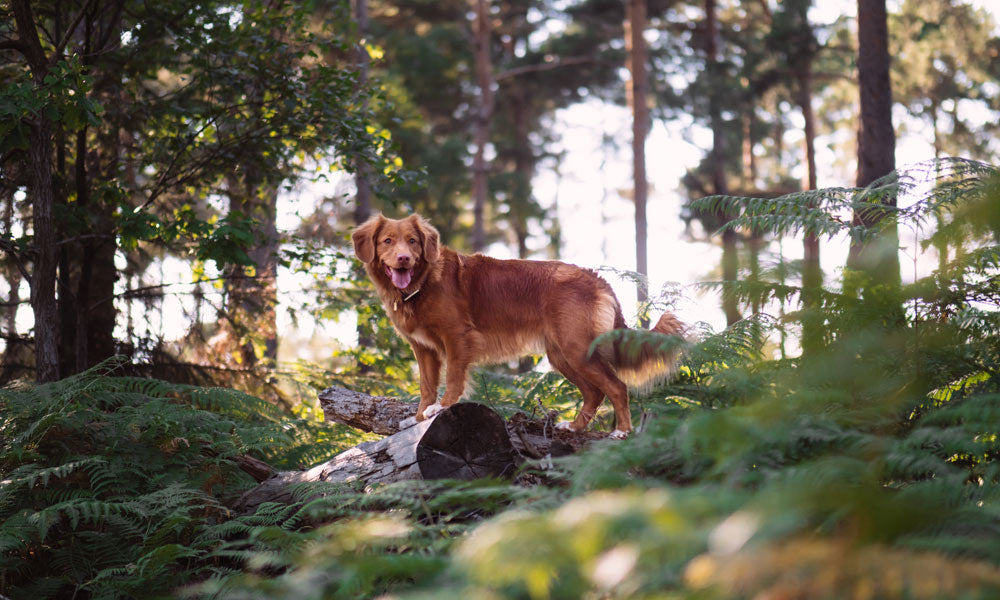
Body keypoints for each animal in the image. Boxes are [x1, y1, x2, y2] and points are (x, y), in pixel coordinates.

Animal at [348, 213, 684, 438]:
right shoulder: (423, 348)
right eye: (387, 241)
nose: (404, 258)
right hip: (561, 355)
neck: (422, 282)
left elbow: (453, 378)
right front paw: (419, 417)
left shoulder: (457, 338)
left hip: (576, 348)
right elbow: (426, 386)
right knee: (594, 392)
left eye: (413, 241)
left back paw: (622, 431)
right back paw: (574, 426)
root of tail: (595, 277)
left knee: (616, 386)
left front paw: (442, 407)